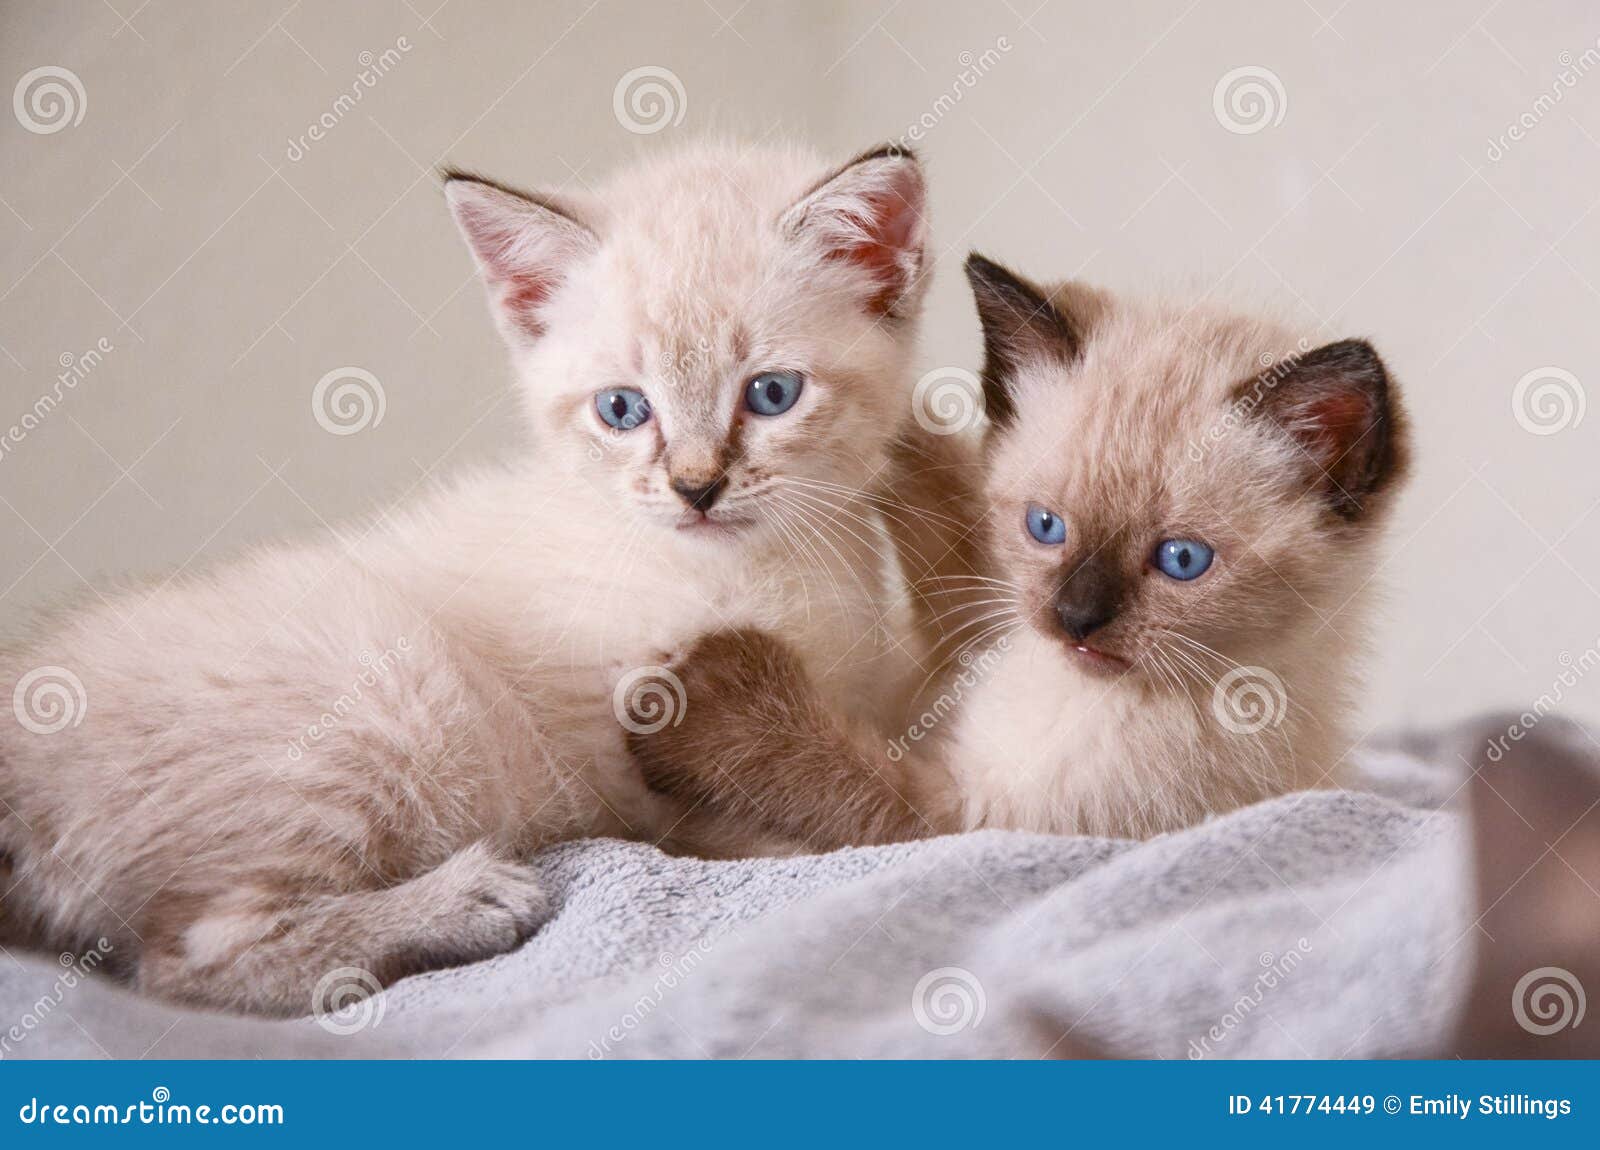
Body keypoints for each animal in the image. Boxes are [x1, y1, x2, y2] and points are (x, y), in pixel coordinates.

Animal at [0, 141, 934, 1017]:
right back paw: (464, 902)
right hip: (383, 696)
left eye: (771, 394)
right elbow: (848, 821)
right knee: (190, 957)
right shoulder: (652, 774)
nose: (695, 489)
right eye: (623, 410)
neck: (778, 562)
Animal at [627, 252, 1414, 844]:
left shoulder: (963, 816)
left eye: (1182, 561)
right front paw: (883, 439)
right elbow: (946, 514)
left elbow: (844, 781)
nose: (1075, 619)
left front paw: (699, 690)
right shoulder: (962, 636)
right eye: (1045, 527)